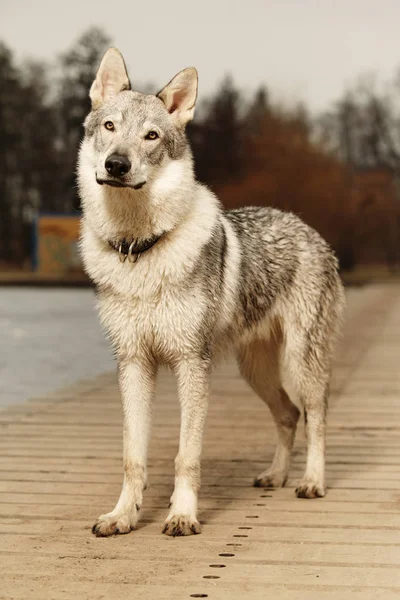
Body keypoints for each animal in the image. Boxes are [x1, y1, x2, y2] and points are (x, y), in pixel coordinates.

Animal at [76, 45, 346, 536]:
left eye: (151, 136)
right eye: (109, 127)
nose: (116, 165)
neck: (140, 247)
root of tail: (307, 227)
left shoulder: (190, 364)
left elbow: (186, 456)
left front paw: (182, 516)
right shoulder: (133, 364)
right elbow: (133, 457)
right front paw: (123, 516)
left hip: (301, 363)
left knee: (315, 415)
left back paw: (311, 482)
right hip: (256, 370)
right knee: (288, 414)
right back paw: (275, 475)